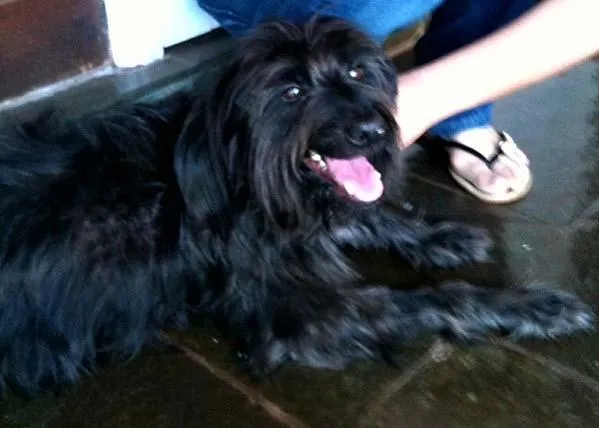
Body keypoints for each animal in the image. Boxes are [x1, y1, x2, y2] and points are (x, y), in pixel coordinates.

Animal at [0, 17, 593, 396]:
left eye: (356, 72)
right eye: (290, 92)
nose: (374, 130)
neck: (235, 165)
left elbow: (365, 215)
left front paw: (439, 236)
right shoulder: (301, 311)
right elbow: (433, 297)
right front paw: (531, 306)